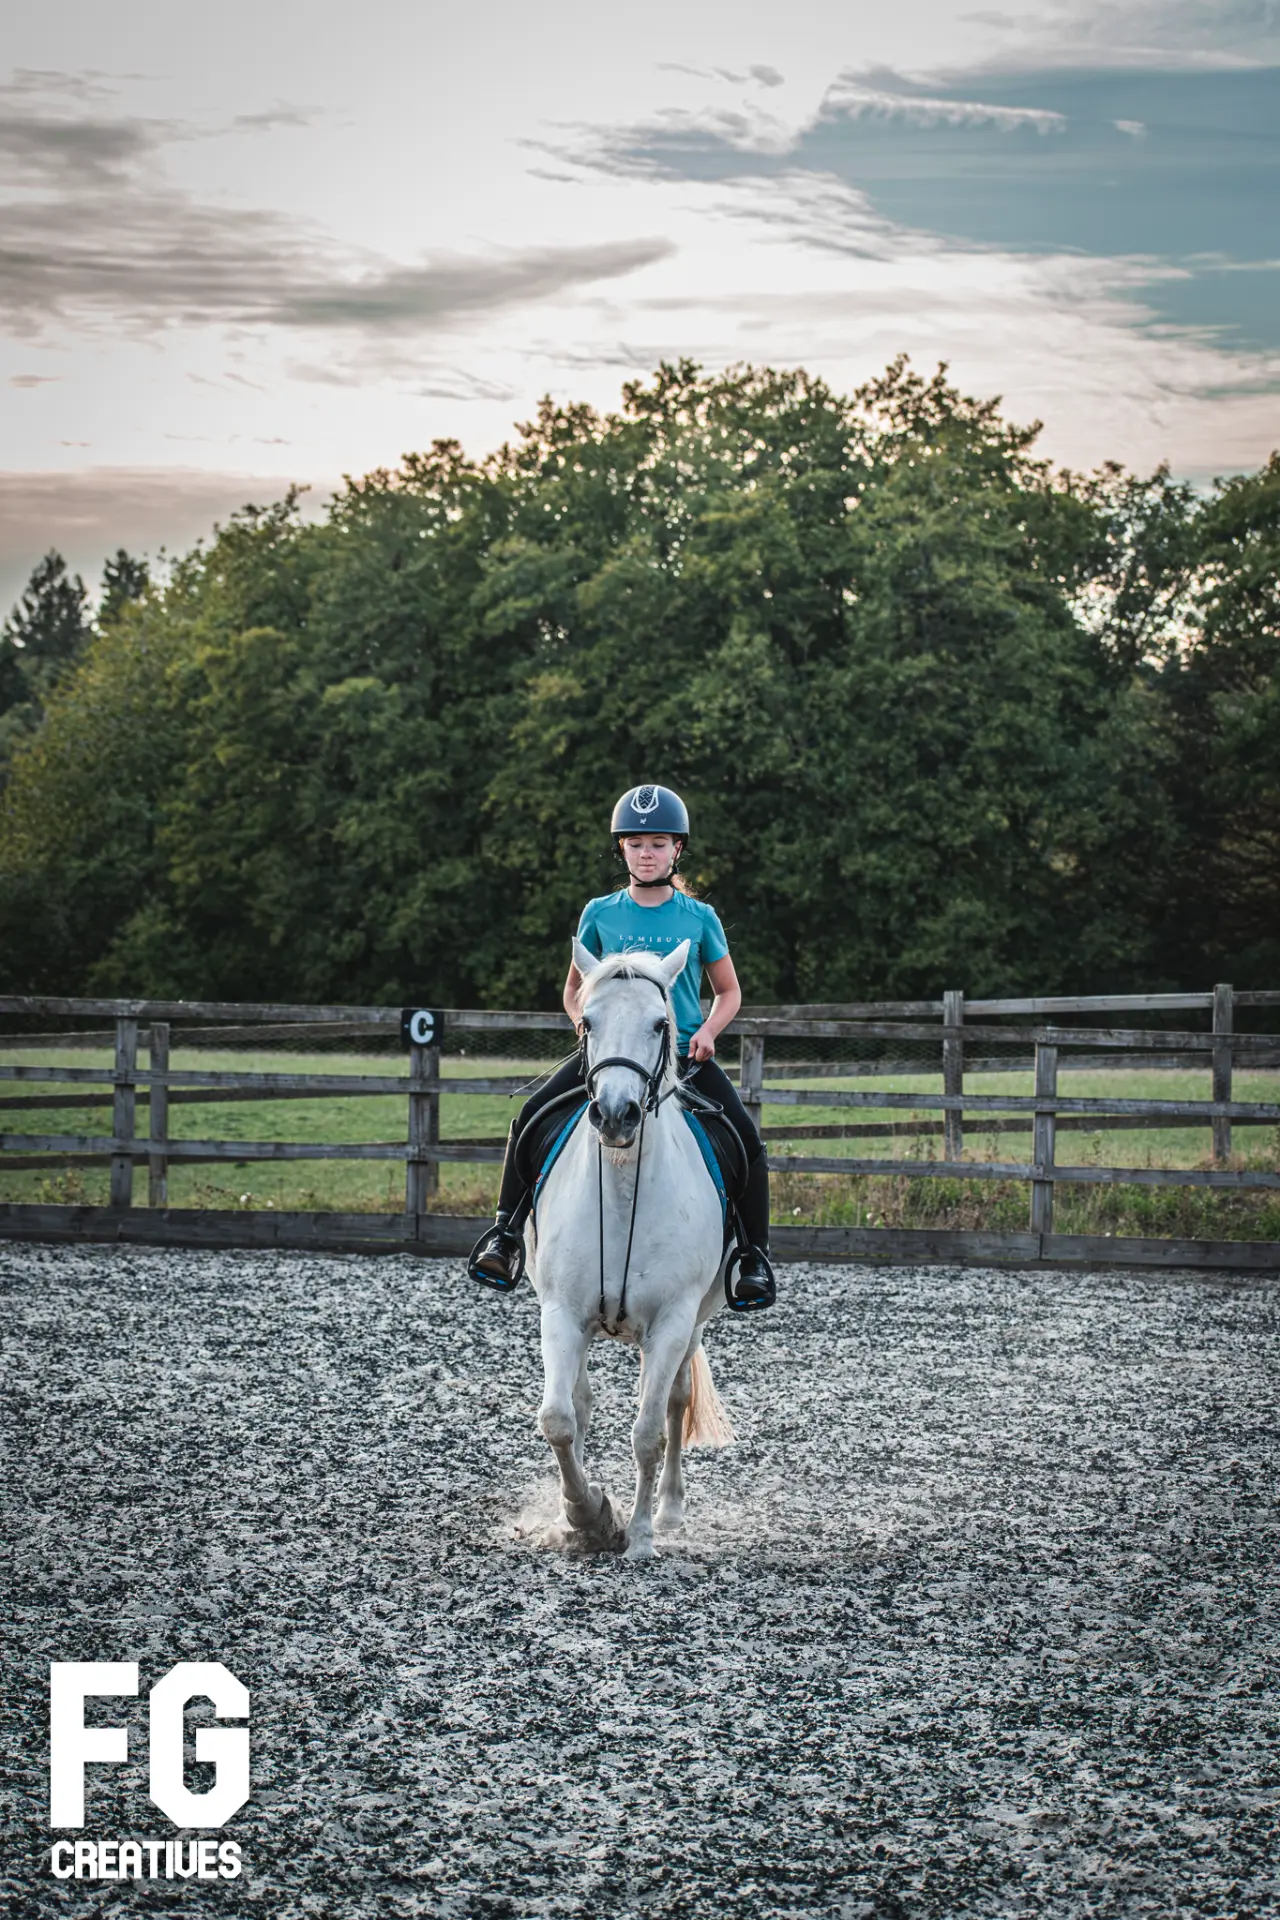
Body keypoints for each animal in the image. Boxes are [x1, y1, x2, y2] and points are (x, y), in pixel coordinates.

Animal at [525, 937, 736, 1560]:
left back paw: (667, 1512)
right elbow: (559, 1418)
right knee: (580, 1401)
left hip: (693, 1325)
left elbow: (649, 1431)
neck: (622, 1190)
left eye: (661, 1023)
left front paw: (638, 1537)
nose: (616, 1115)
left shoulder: (671, 1322)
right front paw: (585, 1516)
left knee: (675, 1403)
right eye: (587, 1021)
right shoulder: (561, 1312)